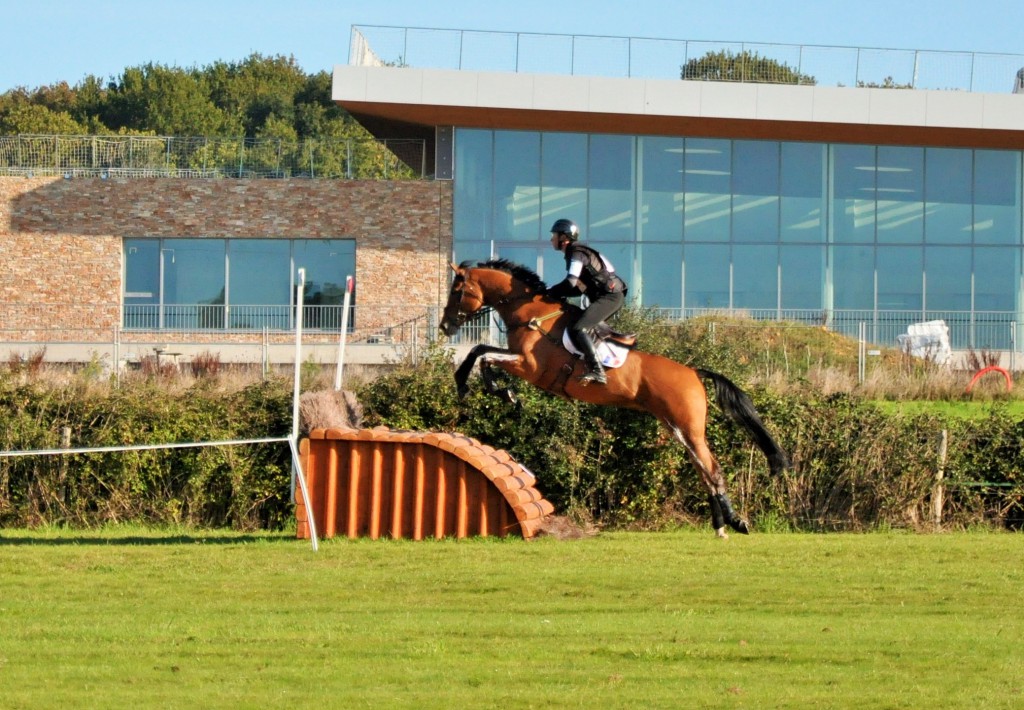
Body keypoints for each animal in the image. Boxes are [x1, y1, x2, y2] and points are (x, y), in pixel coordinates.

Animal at [436, 257, 786, 532]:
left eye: (457, 291)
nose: (444, 327)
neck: (530, 312)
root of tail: (693, 372)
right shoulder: (517, 359)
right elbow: (481, 351)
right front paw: (482, 386)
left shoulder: (529, 365)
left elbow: (485, 356)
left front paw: (492, 389)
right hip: (677, 429)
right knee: (704, 470)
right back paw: (721, 524)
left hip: (690, 427)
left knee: (712, 469)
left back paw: (734, 523)